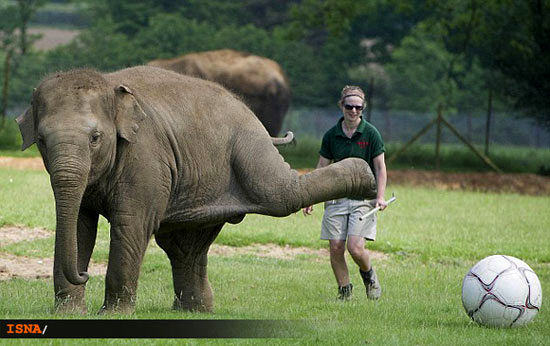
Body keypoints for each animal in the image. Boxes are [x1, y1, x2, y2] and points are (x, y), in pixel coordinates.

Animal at [17, 65, 380, 314]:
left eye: (95, 138)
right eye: (42, 141)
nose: (83, 274)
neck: (110, 86)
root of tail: (252, 116)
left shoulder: (145, 157)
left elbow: (131, 224)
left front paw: (112, 316)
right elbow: (80, 226)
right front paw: (69, 314)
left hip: (247, 146)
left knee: (280, 193)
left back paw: (365, 178)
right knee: (184, 243)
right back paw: (194, 310)